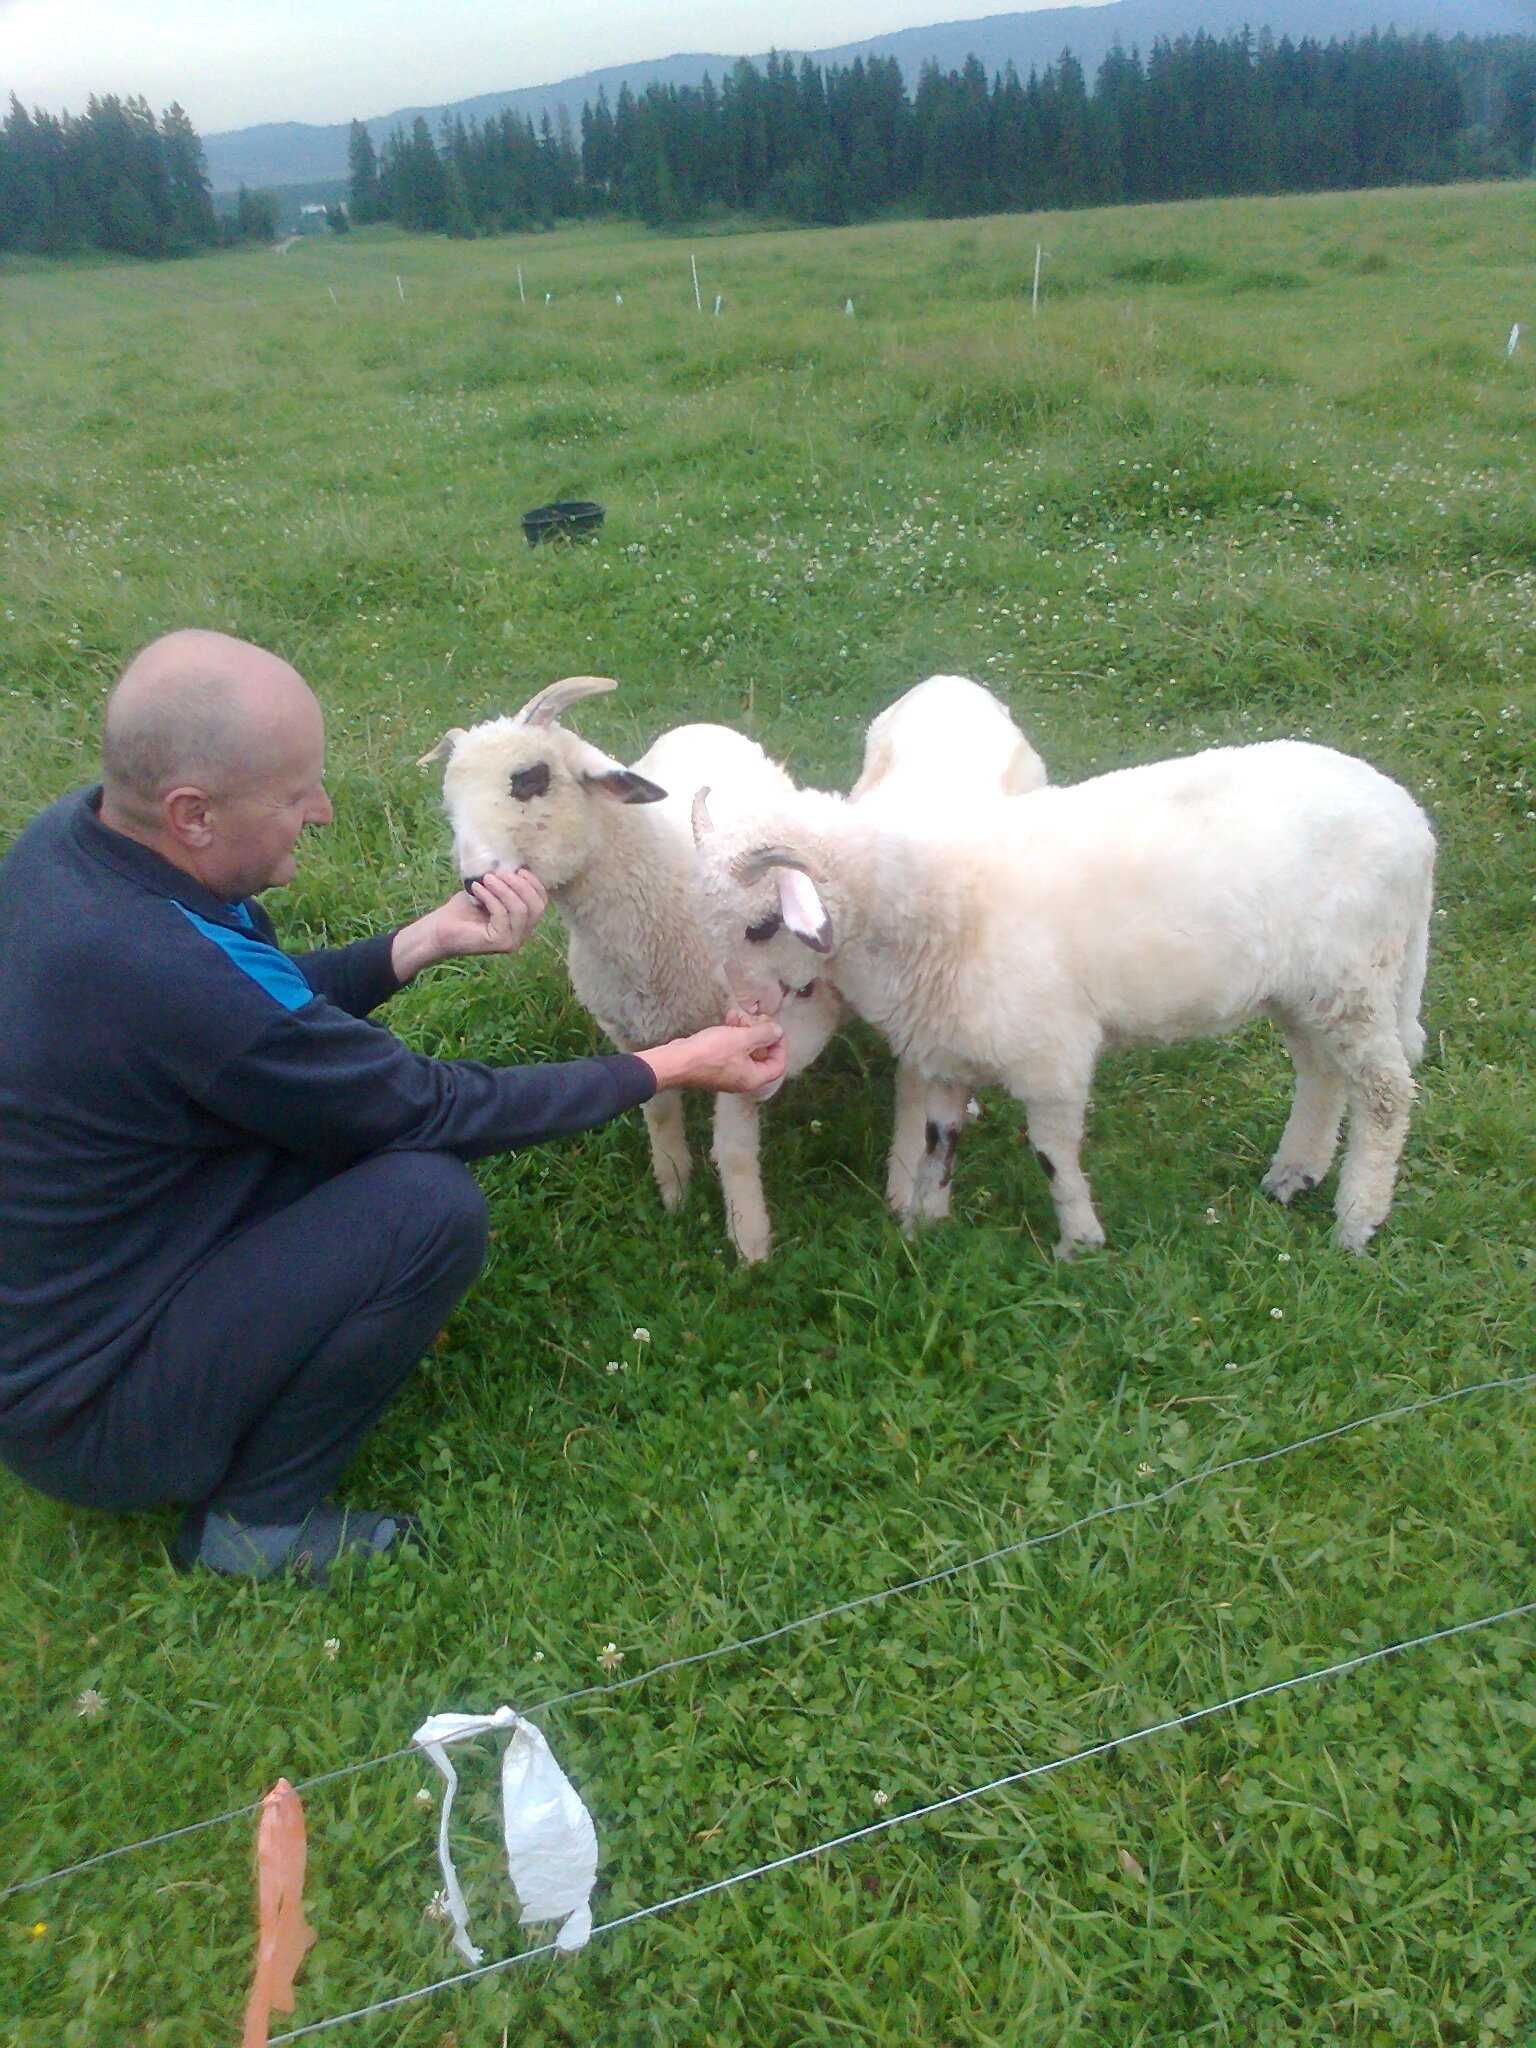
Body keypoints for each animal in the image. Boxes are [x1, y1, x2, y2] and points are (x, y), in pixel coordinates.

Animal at [417, 679, 843, 1253]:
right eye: (449, 803)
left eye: (531, 779)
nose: (476, 885)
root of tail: (704, 724)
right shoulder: (633, 1034)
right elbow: (658, 1113)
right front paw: (675, 1194)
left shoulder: (748, 1031)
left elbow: (734, 1151)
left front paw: (750, 1244)